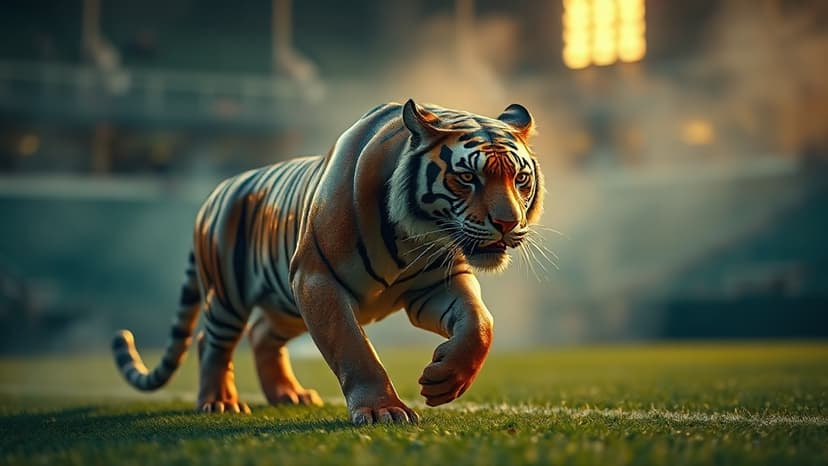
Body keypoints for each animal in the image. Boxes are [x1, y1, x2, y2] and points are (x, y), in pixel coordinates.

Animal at [112, 99, 544, 425]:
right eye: (467, 178)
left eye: (520, 179)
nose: (508, 223)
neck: (414, 237)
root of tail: (217, 191)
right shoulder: (316, 280)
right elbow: (352, 347)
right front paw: (383, 411)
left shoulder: (436, 284)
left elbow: (479, 324)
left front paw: (445, 379)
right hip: (228, 294)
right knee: (211, 340)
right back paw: (218, 400)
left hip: (285, 306)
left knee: (261, 334)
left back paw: (289, 395)